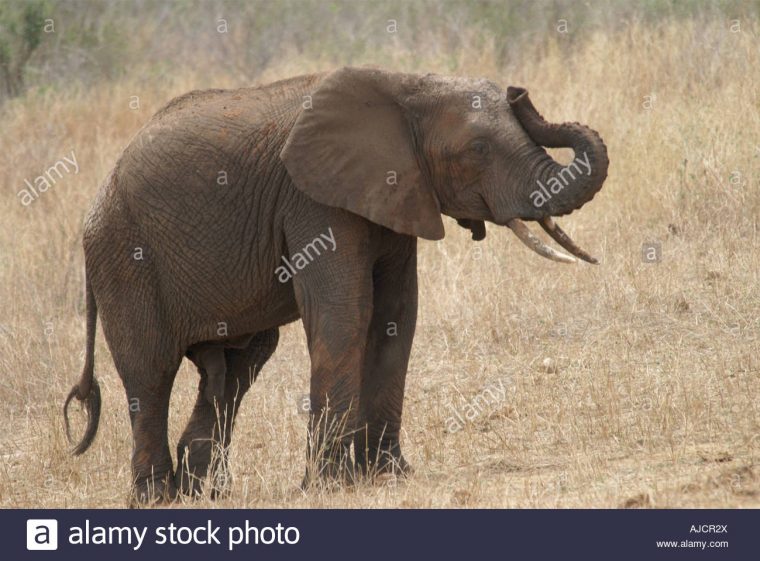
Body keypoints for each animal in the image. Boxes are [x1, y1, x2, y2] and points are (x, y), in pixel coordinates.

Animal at [65, 65, 612, 504]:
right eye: (477, 149)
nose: (519, 91)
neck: (406, 85)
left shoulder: (395, 193)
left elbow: (396, 316)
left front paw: (389, 475)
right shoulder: (313, 200)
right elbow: (347, 312)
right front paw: (330, 486)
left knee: (238, 366)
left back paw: (205, 492)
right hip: (124, 257)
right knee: (151, 371)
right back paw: (156, 497)